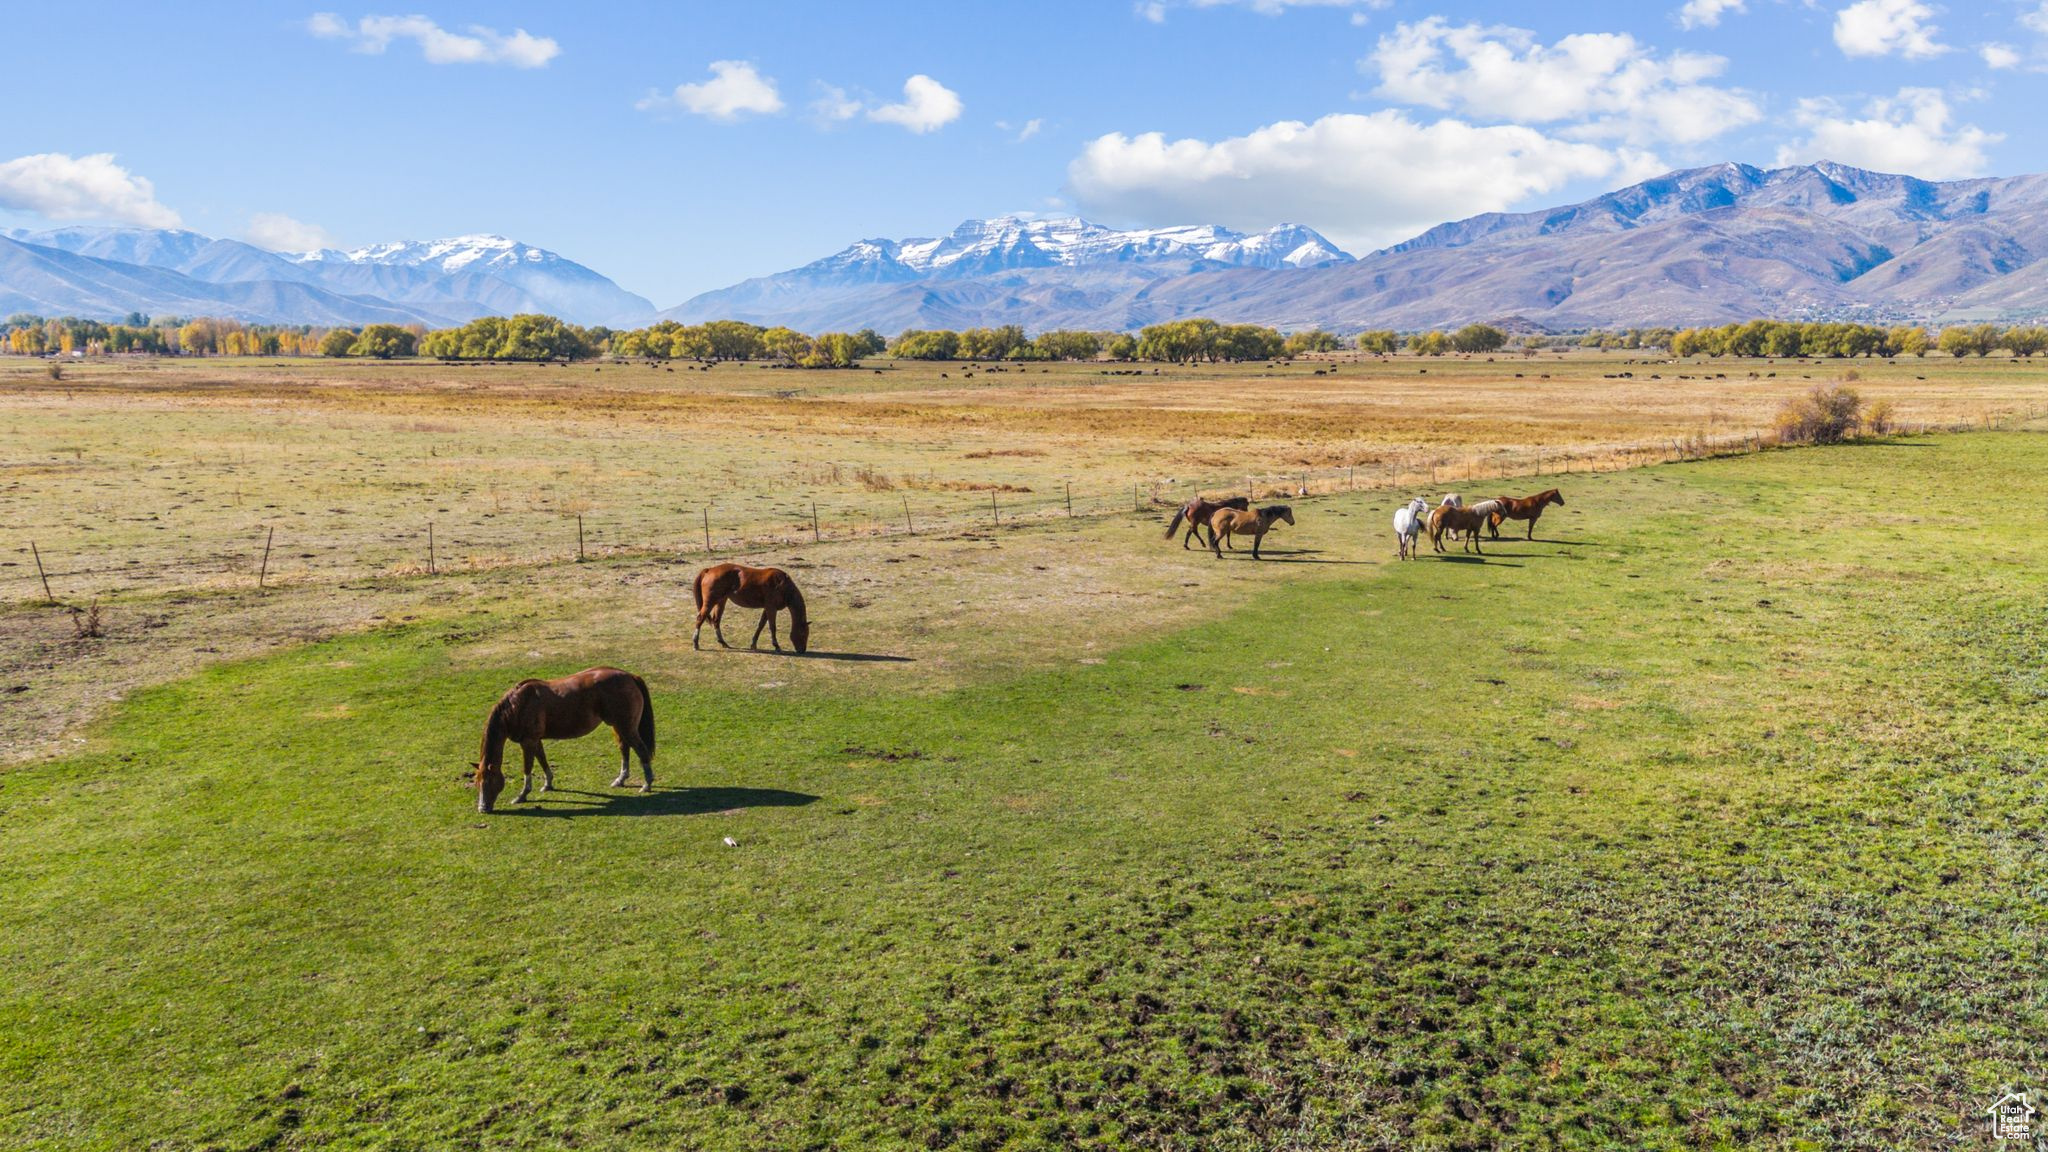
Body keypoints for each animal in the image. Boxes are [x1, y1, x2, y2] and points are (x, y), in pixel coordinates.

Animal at [468, 660, 651, 811]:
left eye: (490, 781)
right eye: (476, 782)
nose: (482, 808)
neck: (517, 706)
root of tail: (630, 676)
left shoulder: (528, 742)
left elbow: (527, 768)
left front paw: (522, 795)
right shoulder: (535, 741)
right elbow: (542, 760)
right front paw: (548, 784)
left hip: (626, 727)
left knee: (642, 751)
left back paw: (646, 784)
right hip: (618, 726)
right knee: (625, 748)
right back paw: (621, 779)